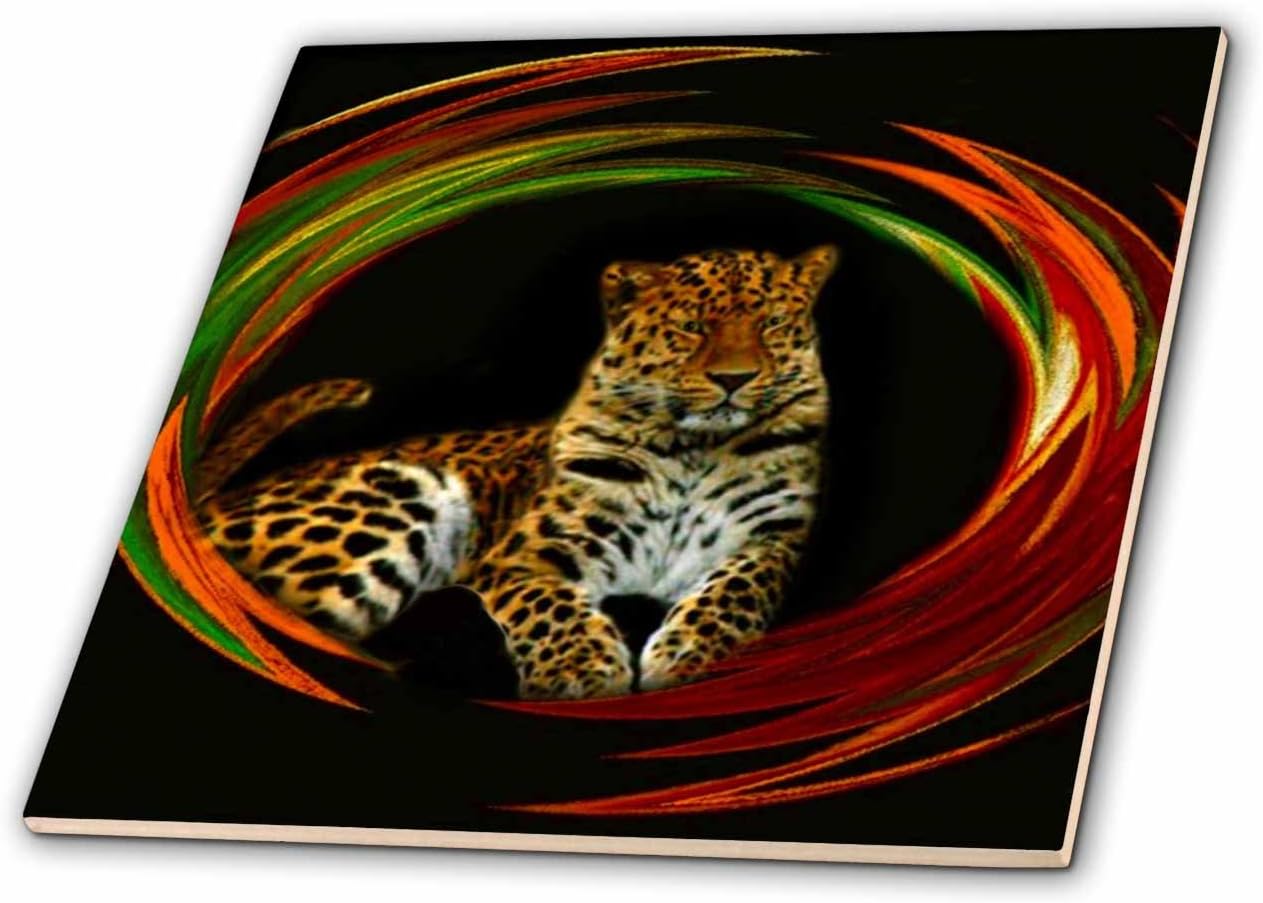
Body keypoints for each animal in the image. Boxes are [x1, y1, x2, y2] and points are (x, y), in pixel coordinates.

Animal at [196, 244, 839, 699]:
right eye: (691, 327)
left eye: (772, 325)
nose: (735, 379)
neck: (694, 447)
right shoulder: (530, 553)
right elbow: (548, 604)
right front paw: (580, 670)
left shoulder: (773, 538)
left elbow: (735, 588)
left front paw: (689, 657)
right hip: (387, 501)